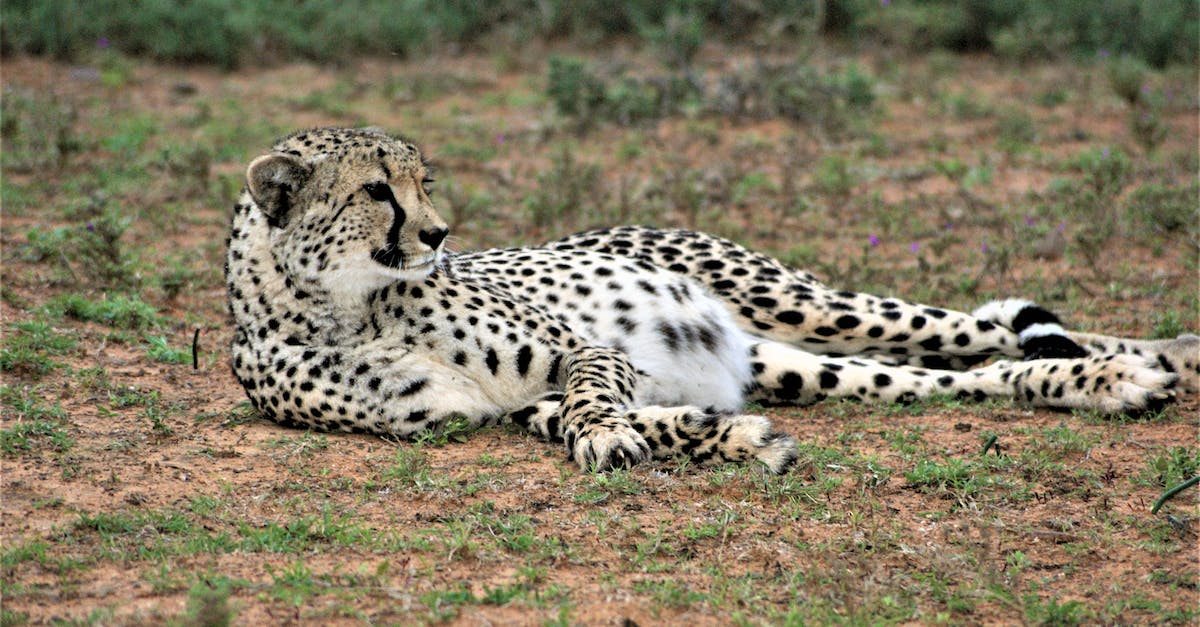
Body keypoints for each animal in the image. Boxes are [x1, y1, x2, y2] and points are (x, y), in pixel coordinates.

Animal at [225, 127, 1197, 473]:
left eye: (422, 181)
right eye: (375, 190)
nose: (439, 233)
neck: (347, 303)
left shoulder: (582, 350)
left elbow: (592, 400)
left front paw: (620, 433)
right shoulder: (495, 411)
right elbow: (599, 418)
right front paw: (726, 436)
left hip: (801, 301)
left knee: (980, 324)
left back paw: (1159, 356)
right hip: (801, 363)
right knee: (973, 372)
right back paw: (1110, 381)